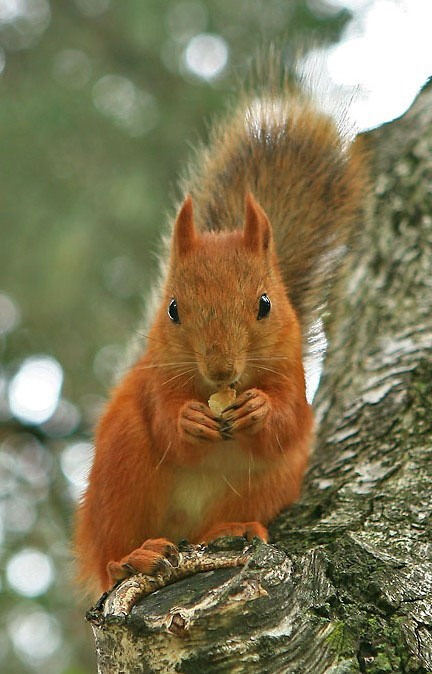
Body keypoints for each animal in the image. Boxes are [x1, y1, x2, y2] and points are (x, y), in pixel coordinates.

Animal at [74, 69, 368, 592]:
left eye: (265, 304)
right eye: (172, 309)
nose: (220, 370)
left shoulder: (291, 372)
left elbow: (290, 419)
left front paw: (259, 409)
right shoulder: (154, 377)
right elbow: (165, 420)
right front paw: (188, 420)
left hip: (269, 481)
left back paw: (229, 528)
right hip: (121, 468)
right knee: (111, 554)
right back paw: (132, 557)